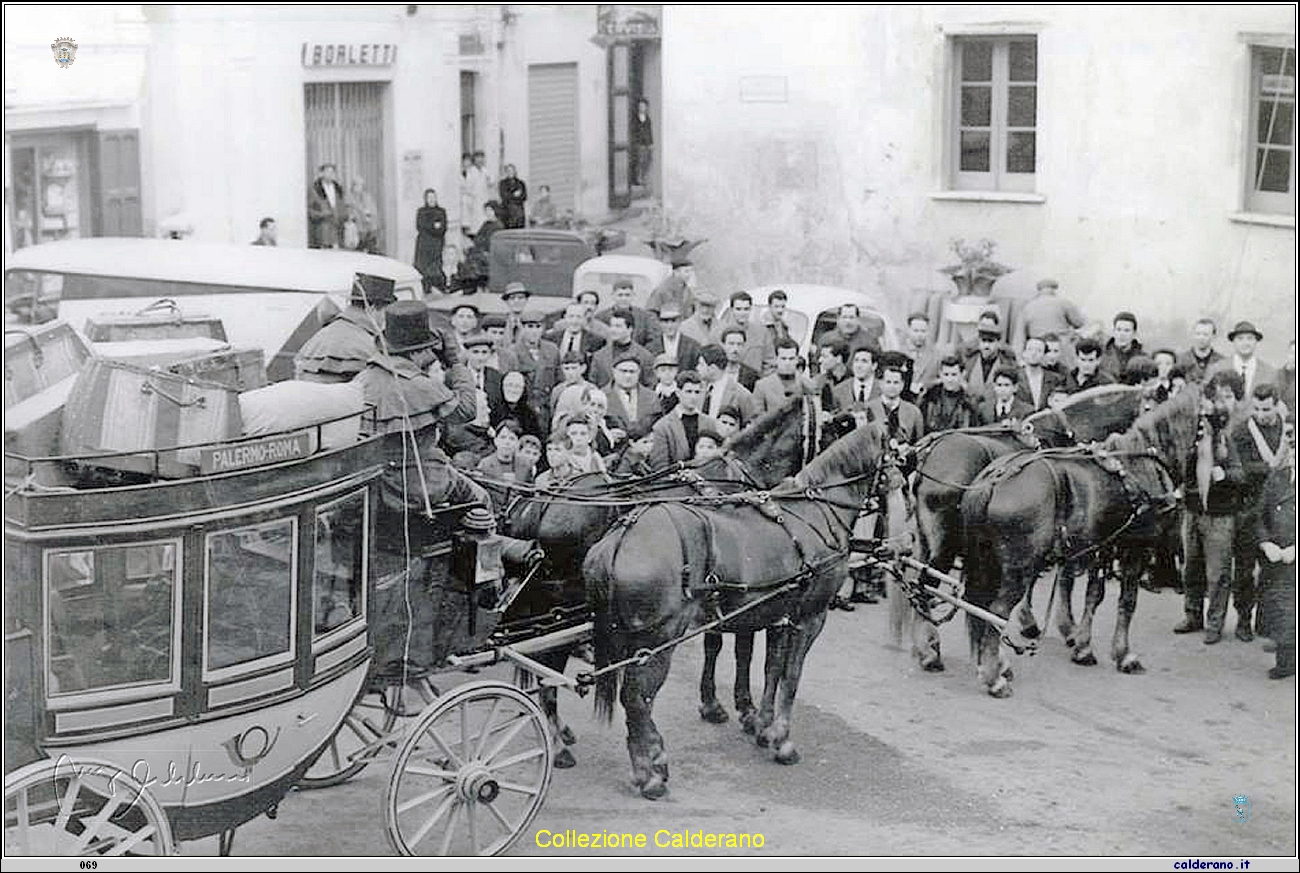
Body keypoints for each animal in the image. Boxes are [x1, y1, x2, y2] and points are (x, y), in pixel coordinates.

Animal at [585, 420, 899, 800]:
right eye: (895, 450)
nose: (902, 481)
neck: (816, 512)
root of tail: (620, 537)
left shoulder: (779, 617)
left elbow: (771, 670)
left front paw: (762, 727)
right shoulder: (810, 618)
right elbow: (791, 677)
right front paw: (783, 741)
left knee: (634, 702)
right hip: (655, 642)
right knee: (637, 700)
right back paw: (651, 775)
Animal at [899, 384, 1154, 670]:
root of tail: (928, 455)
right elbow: (1060, 580)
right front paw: (1055, 628)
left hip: (927, 540)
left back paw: (924, 647)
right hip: (946, 545)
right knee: (927, 585)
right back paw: (933, 653)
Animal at [956, 389, 1196, 696]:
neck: (1138, 463)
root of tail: (994, 479)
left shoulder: (1099, 546)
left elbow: (1092, 593)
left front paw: (1081, 644)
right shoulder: (1134, 547)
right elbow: (1125, 600)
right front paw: (1123, 655)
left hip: (991, 562)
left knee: (980, 608)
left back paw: (991, 665)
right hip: (1018, 565)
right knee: (996, 611)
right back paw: (994, 678)